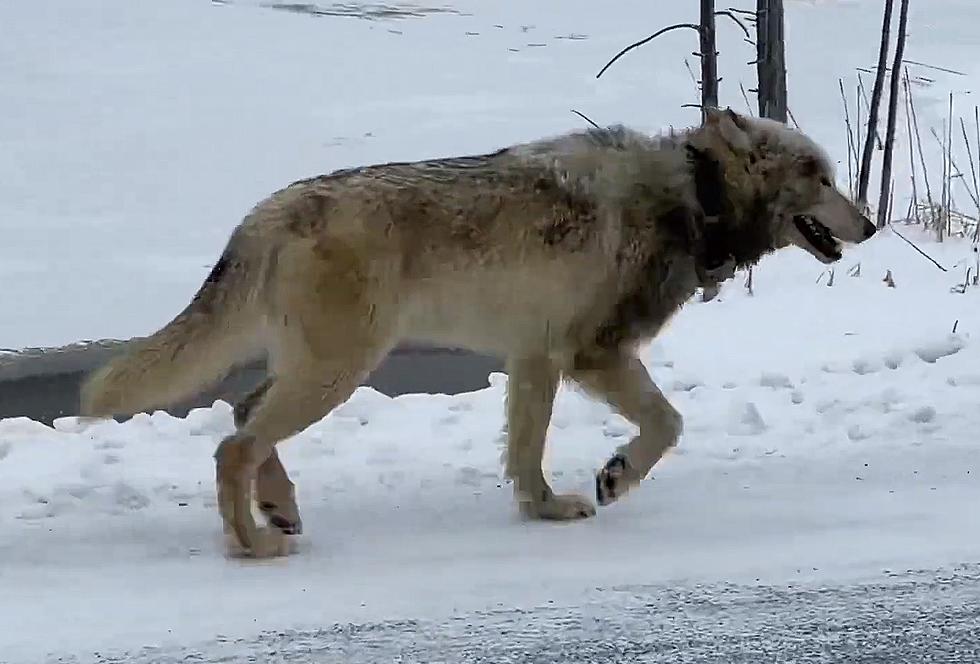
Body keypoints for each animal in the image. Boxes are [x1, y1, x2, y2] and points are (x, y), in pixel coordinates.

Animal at [80, 107, 876, 556]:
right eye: (820, 175)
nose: (870, 224)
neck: (694, 196)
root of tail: (265, 211)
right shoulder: (591, 354)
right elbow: (667, 424)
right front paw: (614, 476)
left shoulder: (535, 359)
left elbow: (526, 455)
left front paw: (545, 510)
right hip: (339, 372)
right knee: (232, 445)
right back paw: (250, 544)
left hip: (320, 370)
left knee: (243, 416)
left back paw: (281, 511)